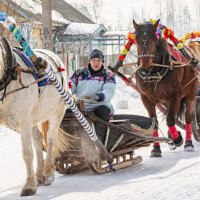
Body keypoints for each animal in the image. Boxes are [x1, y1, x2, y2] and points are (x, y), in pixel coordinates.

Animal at [0, 37, 69, 195]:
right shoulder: (25, 121)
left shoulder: (23, 121)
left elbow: (27, 153)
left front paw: (29, 186)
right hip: (32, 118)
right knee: (38, 141)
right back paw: (39, 175)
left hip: (57, 111)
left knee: (50, 139)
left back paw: (48, 173)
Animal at [132, 19, 199, 157]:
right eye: (137, 40)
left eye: (153, 40)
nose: (145, 65)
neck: (154, 74)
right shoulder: (146, 98)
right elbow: (155, 123)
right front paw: (156, 149)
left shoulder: (176, 95)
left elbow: (170, 120)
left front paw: (177, 139)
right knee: (170, 113)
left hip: (190, 93)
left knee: (187, 118)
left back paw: (188, 143)